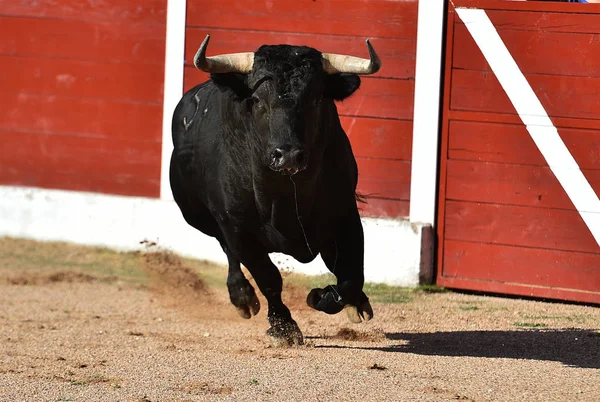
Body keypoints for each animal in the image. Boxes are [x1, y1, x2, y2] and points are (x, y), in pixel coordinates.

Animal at [171, 34, 382, 346]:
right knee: (228, 251)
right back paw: (242, 297)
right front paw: (284, 327)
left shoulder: (346, 216)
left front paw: (326, 297)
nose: (289, 156)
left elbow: (351, 274)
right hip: (200, 218)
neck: (285, 196)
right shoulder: (236, 226)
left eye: (316, 99)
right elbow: (268, 277)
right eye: (258, 99)